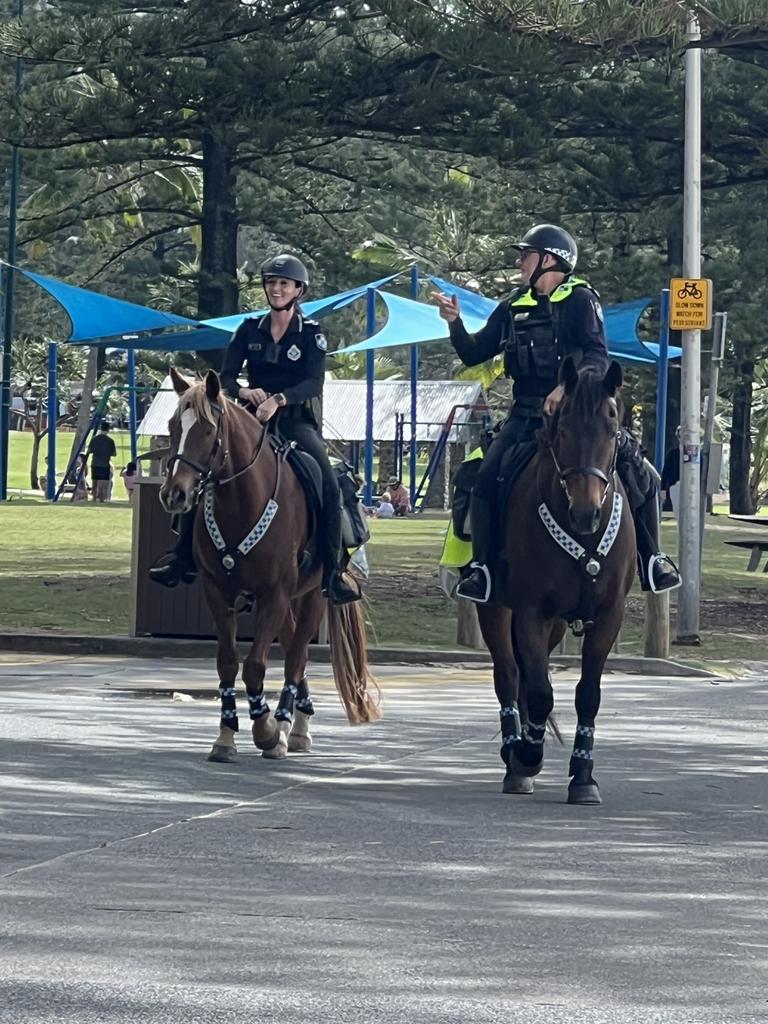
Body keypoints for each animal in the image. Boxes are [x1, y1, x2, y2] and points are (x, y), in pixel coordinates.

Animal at [159, 366, 382, 761]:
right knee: (295, 650)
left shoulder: (273, 594)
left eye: (207, 430)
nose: (176, 494)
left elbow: (256, 666)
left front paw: (264, 729)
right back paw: (295, 721)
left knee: (296, 657)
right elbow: (228, 663)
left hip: (312, 596)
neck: (241, 501)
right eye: (173, 426)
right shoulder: (218, 593)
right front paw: (226, 736)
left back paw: (289, 726)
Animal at [481, 356, 638, 802]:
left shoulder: (608, 615)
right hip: (496, 610)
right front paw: (527, 755)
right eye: (563, 429)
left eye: (612, 428)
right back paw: (514, 753)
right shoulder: (530, 611)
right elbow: (538, 692)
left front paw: (583, 776)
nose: (586, 513)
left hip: (554, 625)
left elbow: (587, 694)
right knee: (508, 675)